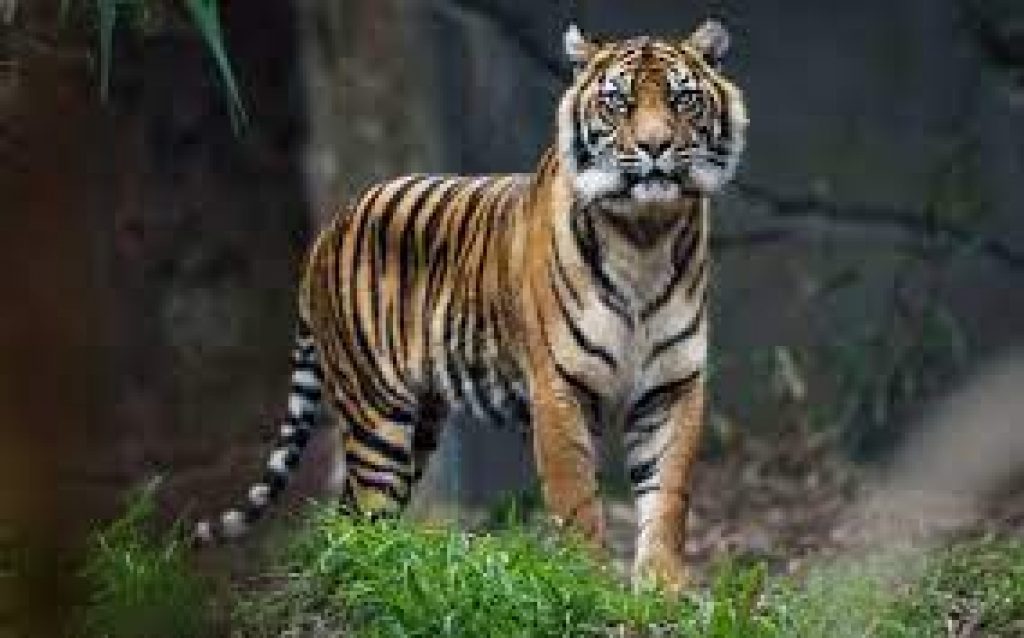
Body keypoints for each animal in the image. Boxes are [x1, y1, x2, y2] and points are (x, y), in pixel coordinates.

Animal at [194, 19, 747, 591]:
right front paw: (588, 584)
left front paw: (662, 589)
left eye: (683, 99)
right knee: (366, 508)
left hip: (420, 421)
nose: (655, 145)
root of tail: (329, 229)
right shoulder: (558, 388)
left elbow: (668, 495)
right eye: (618, 101)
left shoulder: (672, 385)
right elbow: (577, 501)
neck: (645, 236)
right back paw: (378, 577)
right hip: (377, 416)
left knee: (348, 512)